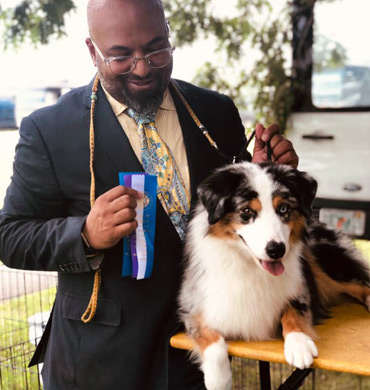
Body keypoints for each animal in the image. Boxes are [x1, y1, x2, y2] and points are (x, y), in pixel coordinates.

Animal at [179, 161, 370, 390]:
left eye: (283, 209)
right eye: (247, 210)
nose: (276, 250)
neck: (251, 267)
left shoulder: (300, 289)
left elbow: (293, 312)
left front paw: (299, 345)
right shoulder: (192, 306)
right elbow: (211, 340)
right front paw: (219, 379)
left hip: (324, 260)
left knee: (361, 283)